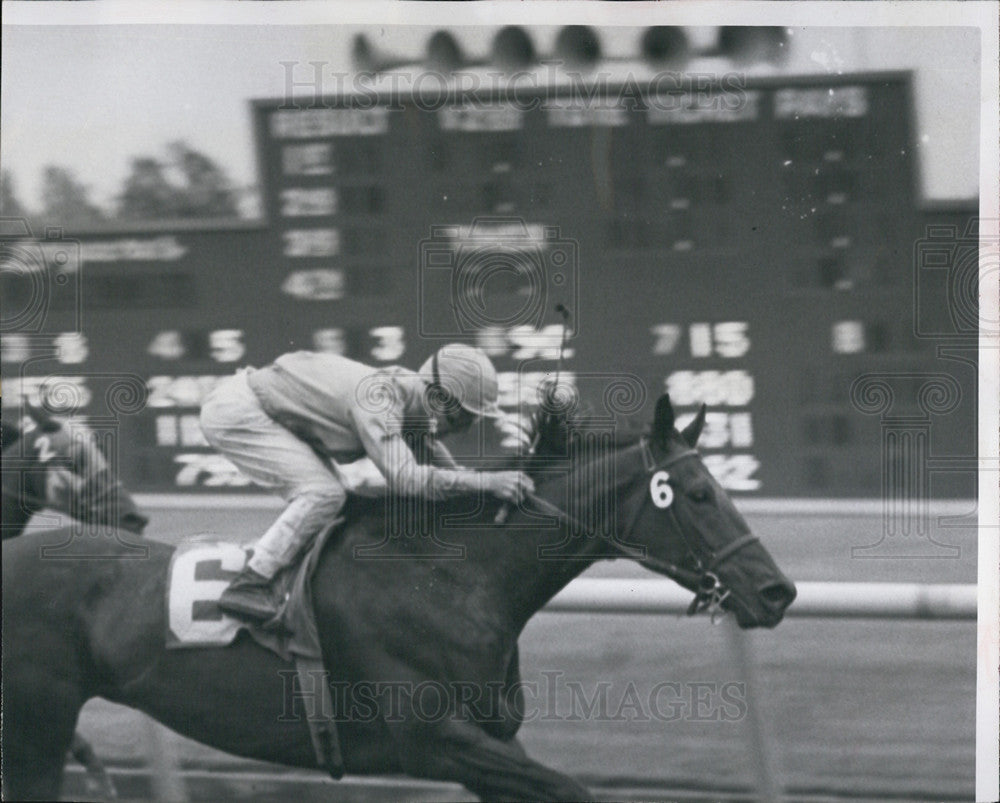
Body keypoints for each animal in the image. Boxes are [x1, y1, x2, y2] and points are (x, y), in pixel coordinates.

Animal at [1, 392, 796, 800]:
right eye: (697, 493)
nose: (778, 590)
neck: (451, 577)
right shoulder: (436, 741)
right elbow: (576, 791)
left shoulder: (490, 742)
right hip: (39, 723)